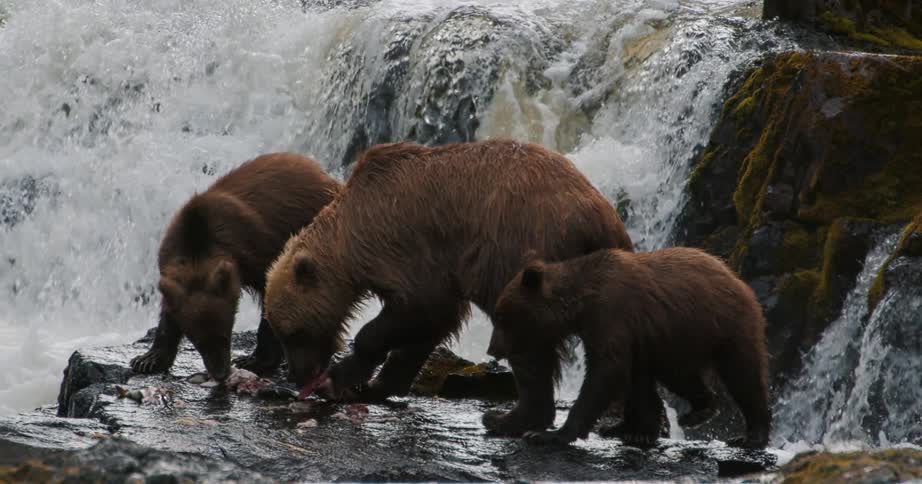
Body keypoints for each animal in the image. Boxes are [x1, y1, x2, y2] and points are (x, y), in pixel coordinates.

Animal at [130, 153, 341, 381]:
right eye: (198, 342)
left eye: (225, 335)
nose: (221, 373)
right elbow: (168, 314)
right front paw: (147, 360)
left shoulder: (259, 251)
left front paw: (253, 360)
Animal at [263, 139, 633, 435]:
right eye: (281, 333)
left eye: (293, 333)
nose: (298, 374)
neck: (352, 237)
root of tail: (601, 218)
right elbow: (427, 328)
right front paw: (374, 384)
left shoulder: (409, 245)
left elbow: (418, 309)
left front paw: (339, 379)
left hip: (522, 255)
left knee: (527, 344)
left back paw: (508, 418)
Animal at [487, 247, 771, 448]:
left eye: (500, 315)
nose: (492, 349)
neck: (582, 303)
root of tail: (735, 276)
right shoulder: (629, 334)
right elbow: (632, 379)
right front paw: (636, 431)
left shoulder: (612, 317)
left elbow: (604, 373)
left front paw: (549, 434)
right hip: (673, 340)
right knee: (679, 376)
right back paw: (697, 410)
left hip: (724, 326)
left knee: (743, 375)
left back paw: (751, 435)